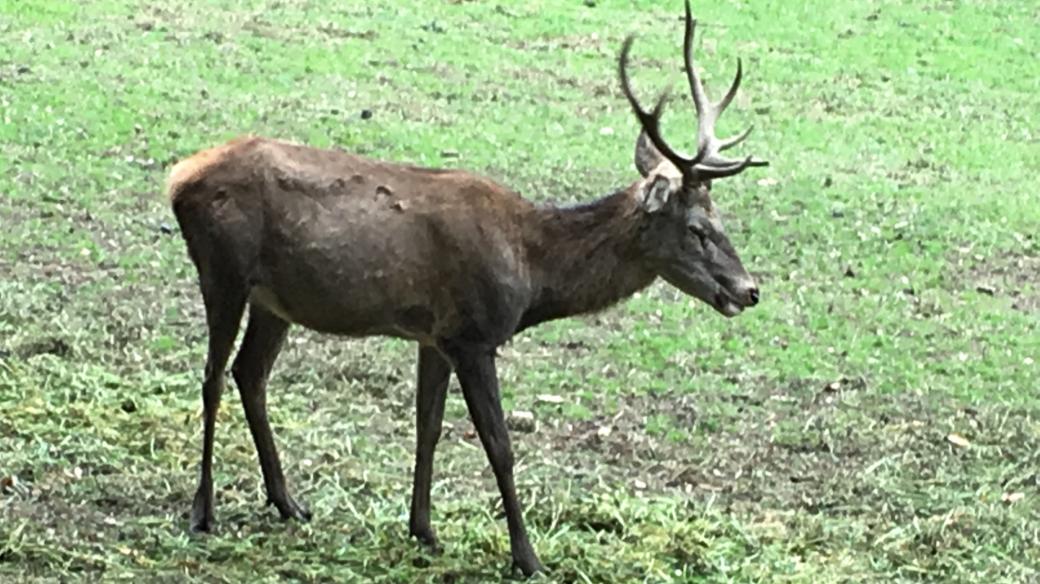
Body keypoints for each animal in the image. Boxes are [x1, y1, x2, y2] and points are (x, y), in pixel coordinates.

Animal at [162, 0, 765, 573]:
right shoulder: (474, 335)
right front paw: (527, 557)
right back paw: (204, 510)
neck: (531, 270)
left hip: (276, 300)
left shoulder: (435, 335)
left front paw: (424, 530)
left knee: (250, 373)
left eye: (721, 220)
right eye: (698, 228)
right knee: (212, 377)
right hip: (223, 270)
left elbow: (427, 425)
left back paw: (288, 501)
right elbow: (499, 445)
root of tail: (178, 178)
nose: (749, 289)